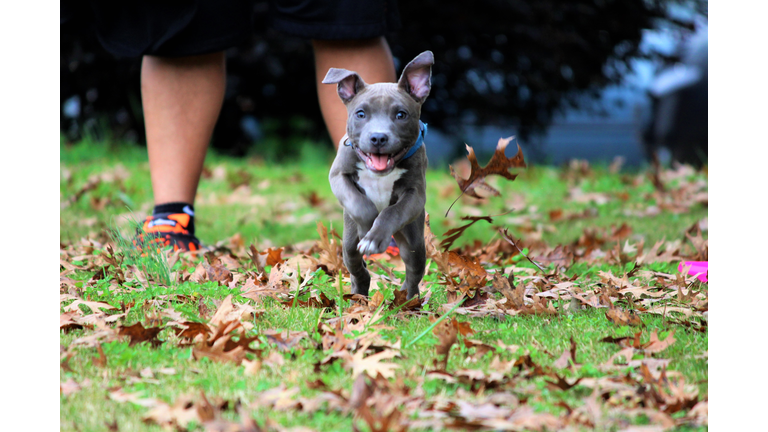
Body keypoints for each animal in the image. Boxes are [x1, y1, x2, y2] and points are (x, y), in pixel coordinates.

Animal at [320, 50, 436, 300]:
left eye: (401, 115)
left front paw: (374, 236)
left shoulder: (415, 195)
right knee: (355, 264)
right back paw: (359, 291)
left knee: (414, 269)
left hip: (413, 238)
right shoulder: (338, 176)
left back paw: (409, 299)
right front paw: (368, 229)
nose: (378, 137)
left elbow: (392, 211)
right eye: (360, 114)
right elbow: (361, 204)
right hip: (348, 240)